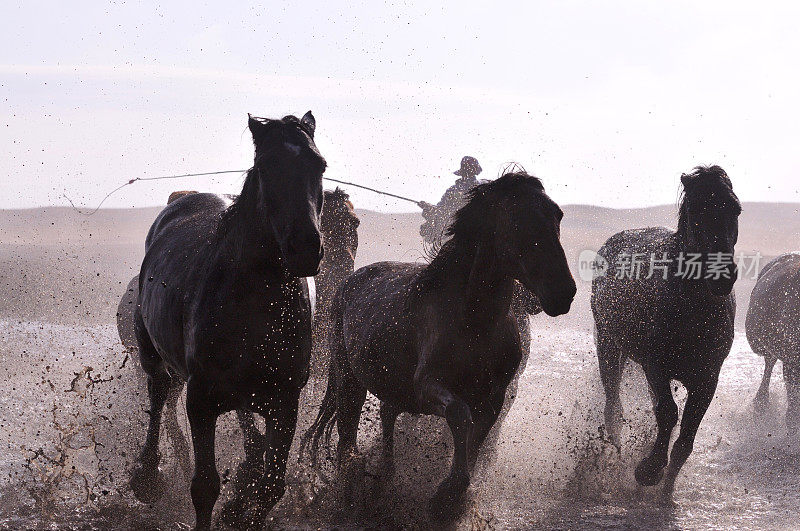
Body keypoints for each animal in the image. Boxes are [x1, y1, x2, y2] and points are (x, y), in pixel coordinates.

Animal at [130, 110, 324, 528]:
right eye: (267, 166)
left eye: (319, 165)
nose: (306, 247)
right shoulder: (201, 401)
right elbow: (205, 486)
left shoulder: (285, 401)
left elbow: (271, 485)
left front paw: (241, 510)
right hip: (152, 354)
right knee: (158, 395)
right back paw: (148, 475)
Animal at [304, 172, 576, 516]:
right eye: (516, 219)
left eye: (558, 215)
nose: (563, 292)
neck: (473, 321)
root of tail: (346, 284)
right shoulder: (427, 387)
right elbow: (459, 415)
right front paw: (444, 495)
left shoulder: (494, 399)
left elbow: (475, 441)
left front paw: (454, 497)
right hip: (350, 381)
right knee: (346, 440)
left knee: (387, 414)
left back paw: (386, 477)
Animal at [592, 164, 740, 496]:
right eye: (697, 210)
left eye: (735, 209)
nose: (723, 276)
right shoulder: (655, 366)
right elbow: (668, 413)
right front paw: (649, 469)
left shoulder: (708, 377)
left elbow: (687, 432)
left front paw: (668, 485)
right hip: (608, 345)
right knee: (612, 404)